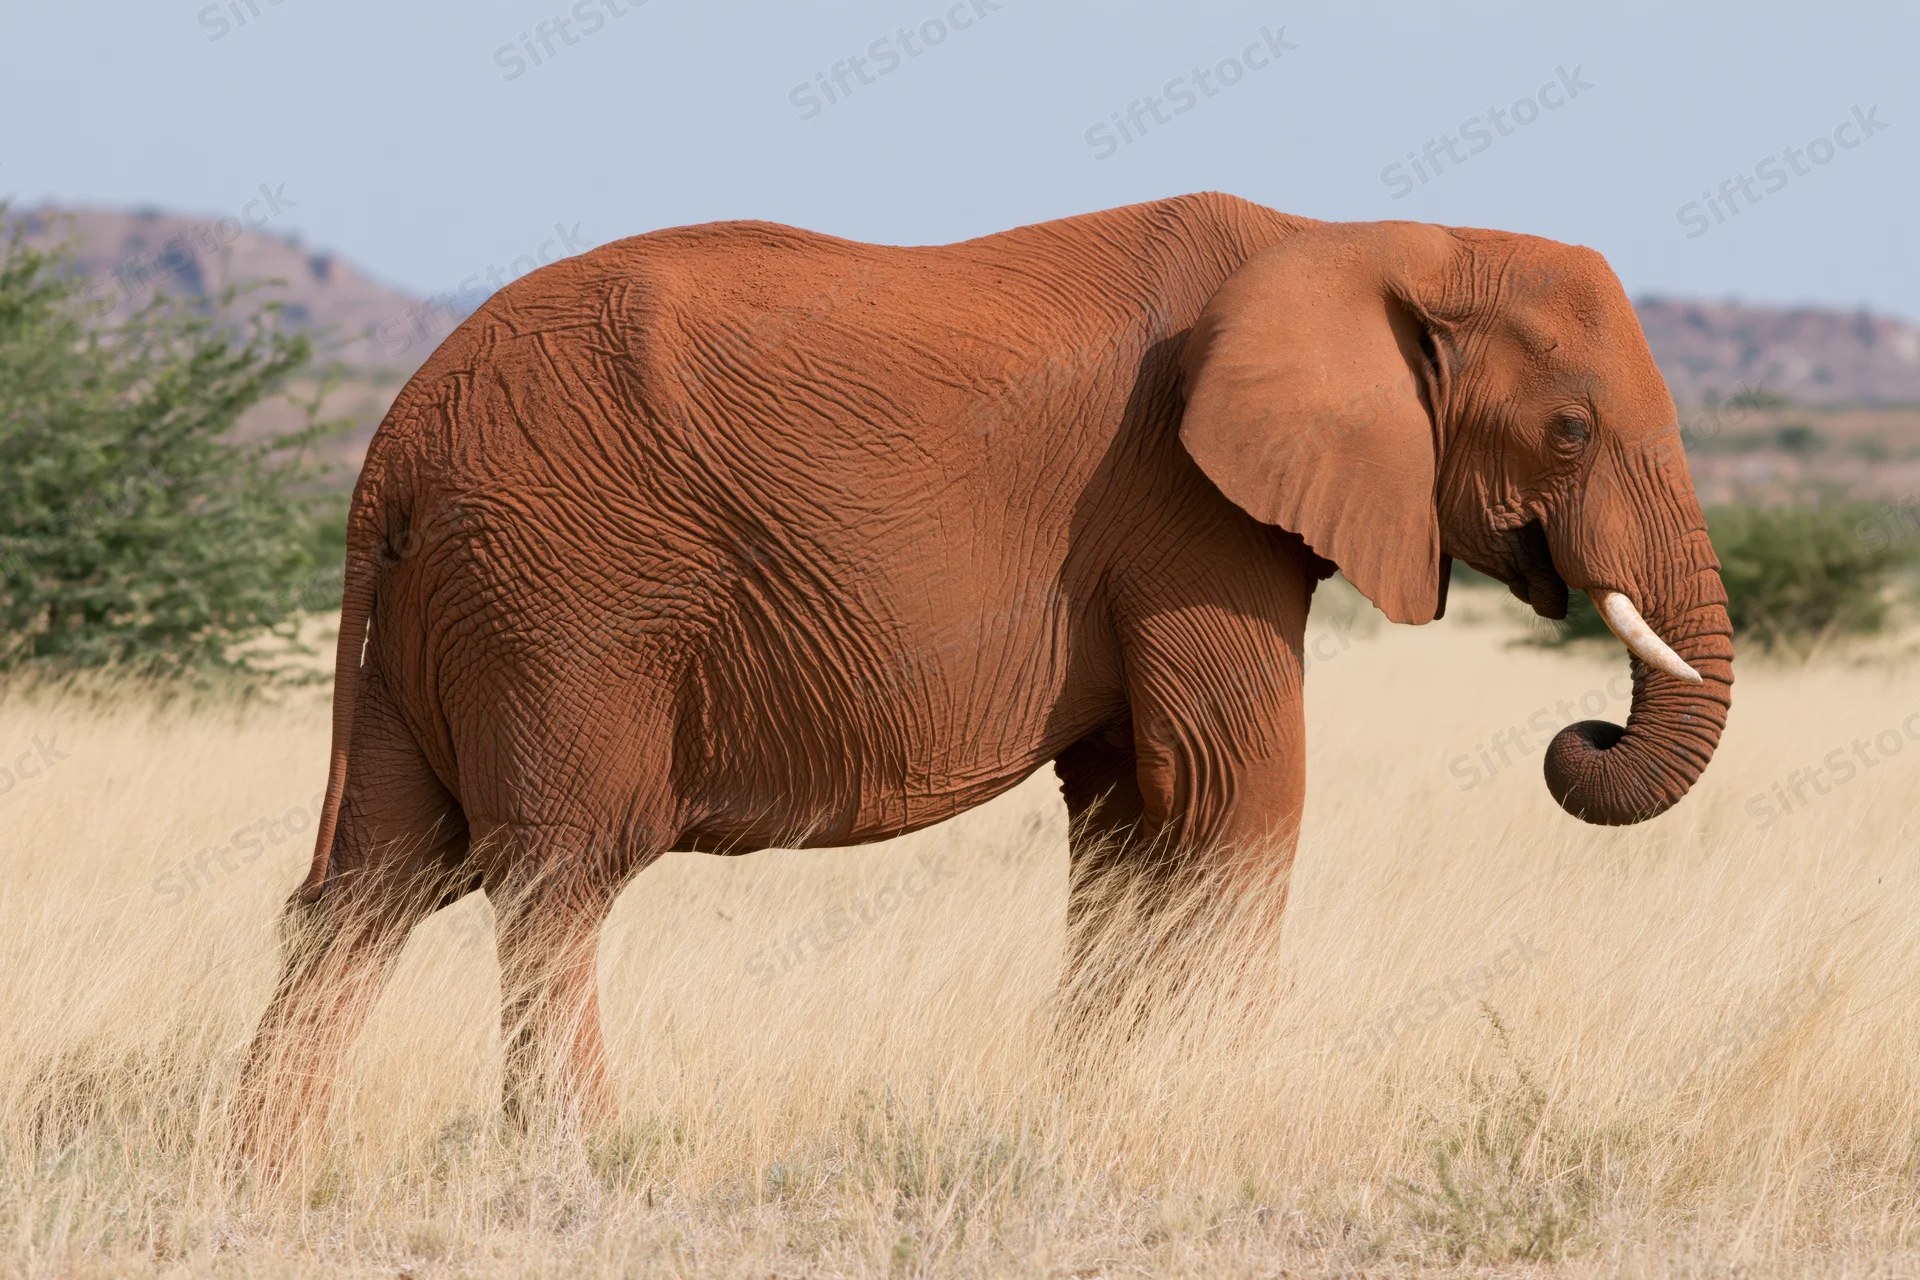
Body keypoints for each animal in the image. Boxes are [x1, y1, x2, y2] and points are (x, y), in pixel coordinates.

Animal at [236, 192, 1732, 1146]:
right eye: (1570, 432)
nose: (1583, 731)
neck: (1367, 238)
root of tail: (390, 449)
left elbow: (1129, 811)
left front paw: (1095, 1101)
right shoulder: (1187, 511)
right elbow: (1237, 790)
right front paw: (1232, 1100)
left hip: (441, 612)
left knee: (365, 886)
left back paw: (270, 1167)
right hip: (566, 597)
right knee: (555, 877)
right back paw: (578, 1161)